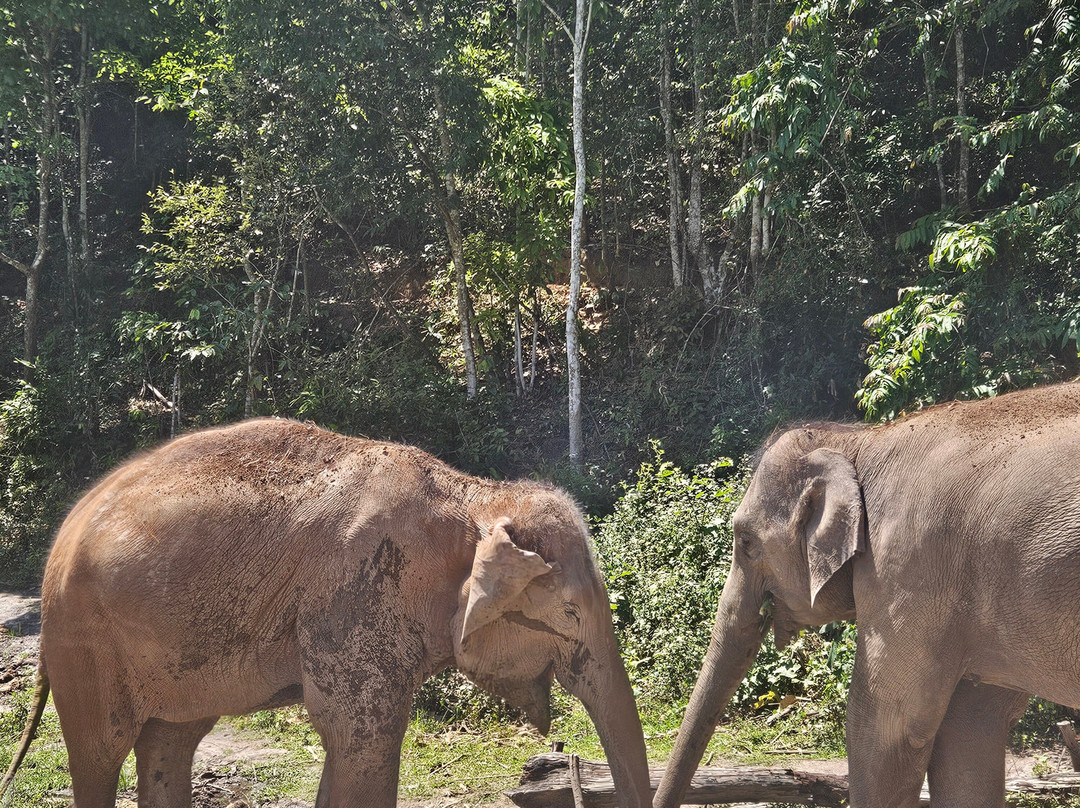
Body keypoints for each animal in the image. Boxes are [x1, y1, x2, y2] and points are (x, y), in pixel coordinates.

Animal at [0, 418, 652, 808]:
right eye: (570, 611)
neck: (471, 497)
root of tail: (62, 538)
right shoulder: (355, 599)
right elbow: (362, 733)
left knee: (170, 739)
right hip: (85, 640)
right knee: (101, 749)